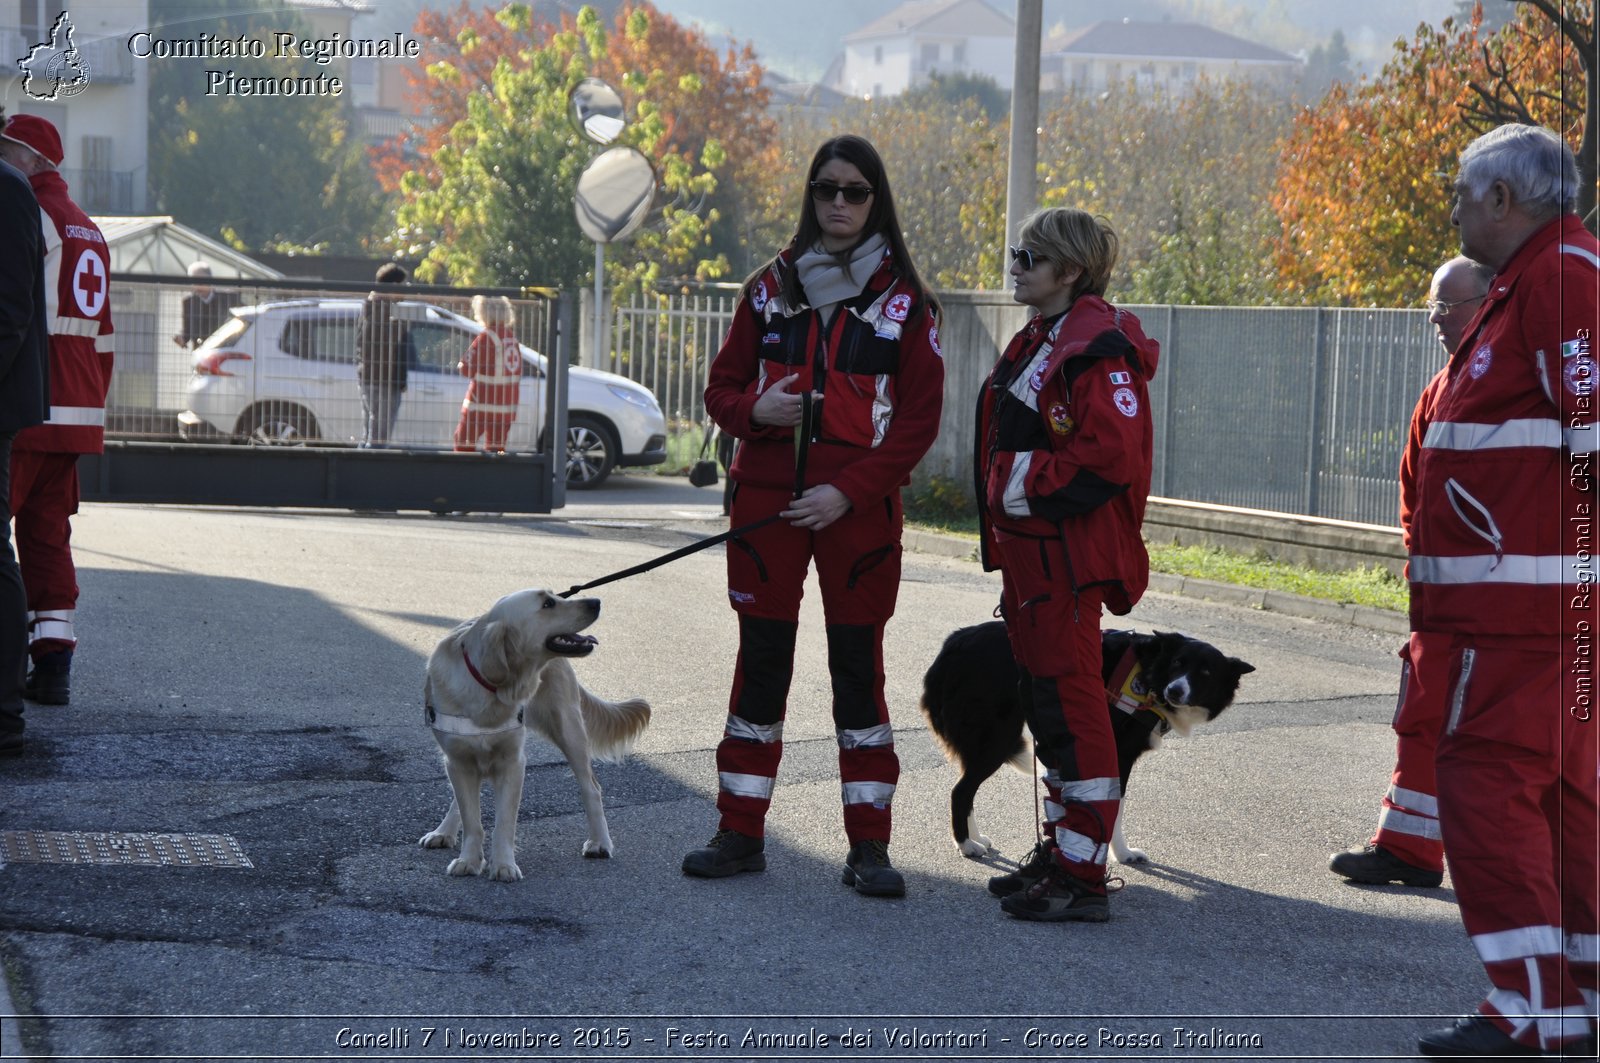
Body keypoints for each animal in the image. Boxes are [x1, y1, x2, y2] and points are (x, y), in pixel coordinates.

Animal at [921, 624, 1254, 864]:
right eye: (1177, 663)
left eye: (1206, 672)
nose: (1175, 691)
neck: (1150, 674)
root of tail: (954, 643)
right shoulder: (1119, 752)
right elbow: (1115, 805)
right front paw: (1119, 853)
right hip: (997, 738)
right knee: (961, 791)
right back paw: (966, 844)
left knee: (967, 790)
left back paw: (976, 838)